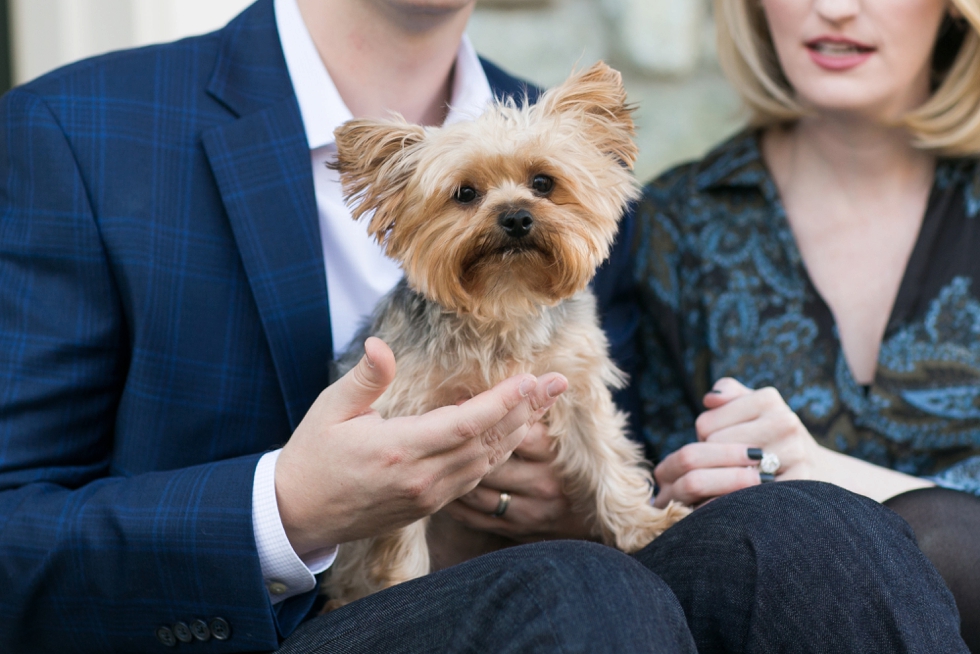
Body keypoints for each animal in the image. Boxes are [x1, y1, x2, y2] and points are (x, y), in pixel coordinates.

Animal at [326, 62, 684, 608]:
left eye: (543, 182)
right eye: (465, 193)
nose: (516, 214)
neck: (504, 301)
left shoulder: (575, 384)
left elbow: (605, 454)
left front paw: (641, 525)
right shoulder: (408, 421)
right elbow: (400, 525)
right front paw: (405, 586)